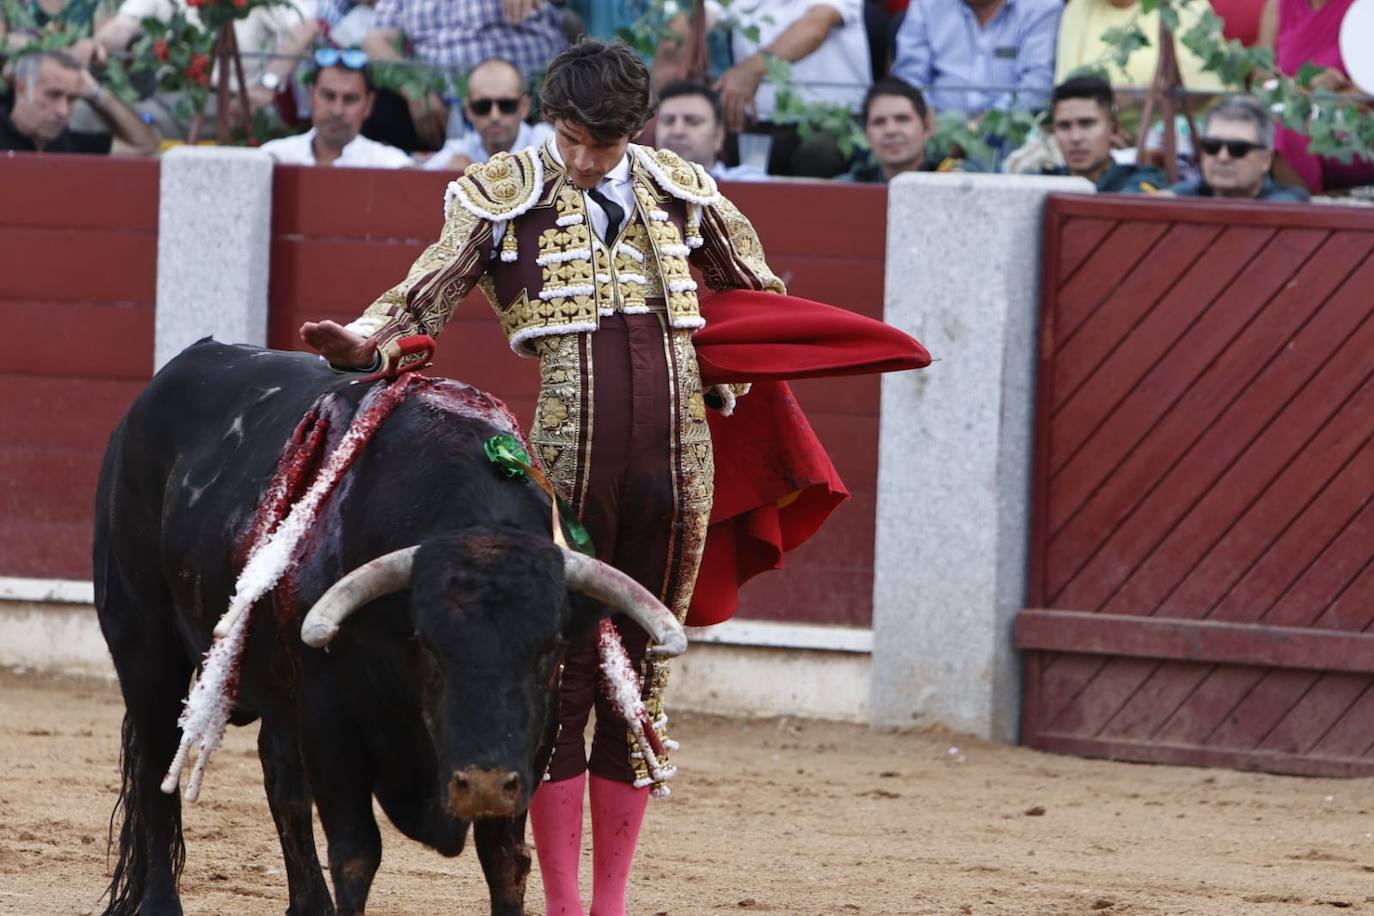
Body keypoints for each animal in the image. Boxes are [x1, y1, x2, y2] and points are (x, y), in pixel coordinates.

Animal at [94, 341, 684, 916]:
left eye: (550, 649)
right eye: (426, 646)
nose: (483, 786)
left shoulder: (533, 737)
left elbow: (507, 859)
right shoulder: (329, 719)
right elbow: (357, 852)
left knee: (279, 777)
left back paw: (310, 905)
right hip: (143, 644)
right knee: (156, 772)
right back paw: (161, 905)